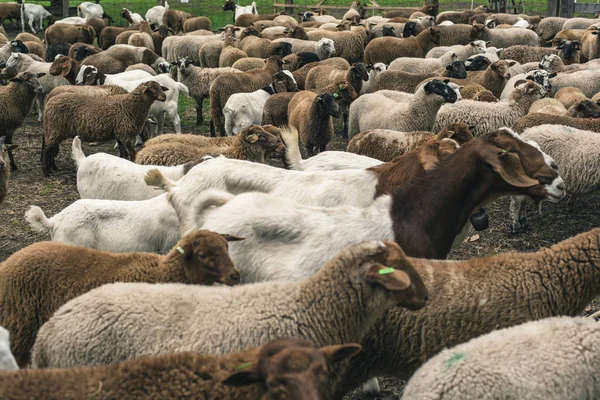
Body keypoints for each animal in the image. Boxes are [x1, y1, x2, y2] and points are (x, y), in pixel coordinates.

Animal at [0, 230, 244, 368]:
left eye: (226, 247)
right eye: (203, 255)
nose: (235, 275)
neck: (163, 272)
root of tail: (8, 263)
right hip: (20, 323)